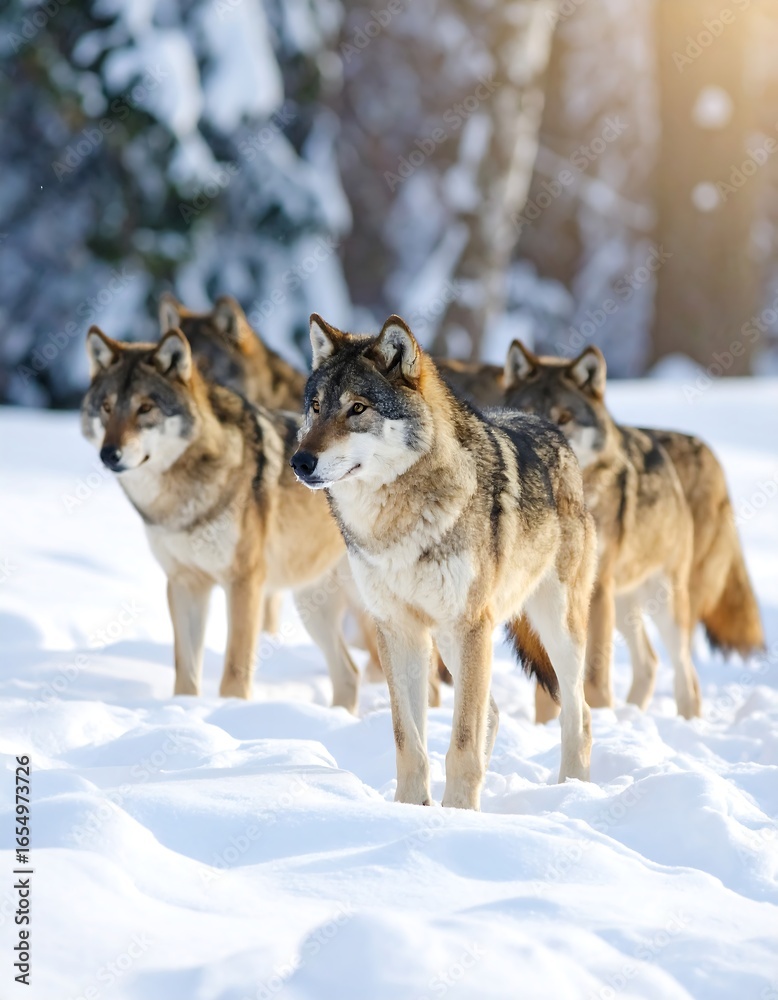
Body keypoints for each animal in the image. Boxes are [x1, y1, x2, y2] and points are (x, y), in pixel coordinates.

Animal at [81, 325, 363, 709]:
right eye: (107, 408)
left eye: (145, 408)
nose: (109, 454)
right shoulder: (185, 583)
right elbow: (185, 670)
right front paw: (183, 709)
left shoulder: (244, 582)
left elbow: (235, 670)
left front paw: (232, 710)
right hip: (312, 605)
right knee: (350, 673)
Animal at [290, 313, 597, 810]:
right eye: (316, 407)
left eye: (357, 408)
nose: (300, 461)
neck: (394, 525)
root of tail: (553, 429)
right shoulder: (398, 629)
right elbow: (409, 742)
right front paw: (414, 810)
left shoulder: (469, 624)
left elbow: (461, 743)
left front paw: (457, 815)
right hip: (458, 642)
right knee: (493, 711)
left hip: (549, 628)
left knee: (580, 712)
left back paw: (573, 790)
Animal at [502, 340, 764, 719]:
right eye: (525, 413)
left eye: (564, 418)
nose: (541, 448)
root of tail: (706, 449)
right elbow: (548, 682)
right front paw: (546, 726)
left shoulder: (594, 593)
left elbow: (593, 676)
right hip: (626, 601)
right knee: (651, 663)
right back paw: (633, 715)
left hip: (665, 601)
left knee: (687, 674)